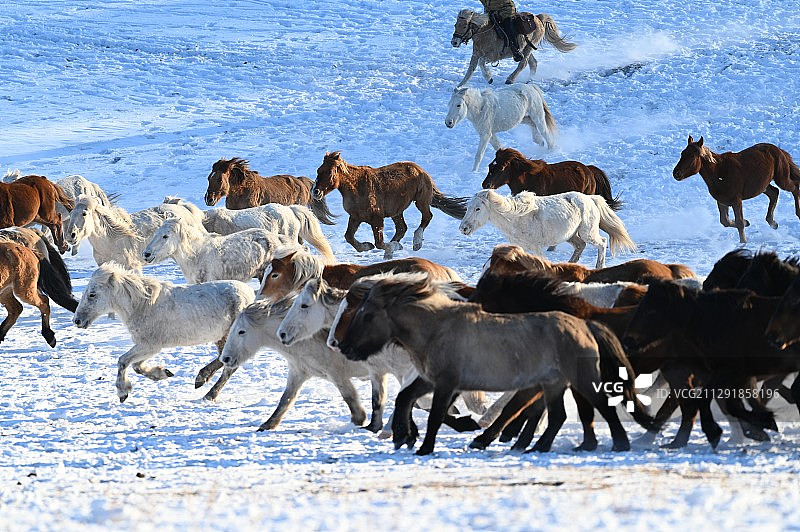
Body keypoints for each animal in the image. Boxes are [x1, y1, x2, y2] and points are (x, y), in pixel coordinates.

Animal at [66, 196, 205, 272]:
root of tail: (185, 208)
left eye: (84, 213)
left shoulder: (132, 267)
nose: (70, 236)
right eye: (71, 213)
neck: (110, 241)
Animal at [73, 262, 254, 402]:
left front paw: (123, 392)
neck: (143, 305)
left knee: (229, 367)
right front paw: (162, 374)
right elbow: (137, 366)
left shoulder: (150, 346)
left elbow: (123, 361)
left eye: (92, 294)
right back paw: (201, 379)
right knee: (222, 360)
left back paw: (209, 395)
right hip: (223, 338)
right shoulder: (148, 347)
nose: (77, 321)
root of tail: (251, 295)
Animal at [311, 151, 468, 259]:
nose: (315, 191)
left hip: (420, 201)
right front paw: (367, 246)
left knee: (427, 217)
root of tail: (421, 171)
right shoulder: (355, 217)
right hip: (396, 212)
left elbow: (379, 243)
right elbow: (349, 237)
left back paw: (415, 243)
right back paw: (392, 250)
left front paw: (390, 247)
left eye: (329, 172)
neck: (357, 187)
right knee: (402, 228)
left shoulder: (377, 219)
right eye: (318, 171)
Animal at [337, 273, 653, 455]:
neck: (436, 328)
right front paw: (404, 436)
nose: (344, 348)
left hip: (580, 380)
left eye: (367, 315)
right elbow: (406, 399)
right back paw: (540, 446)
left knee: (601, 407)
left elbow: (436, 415)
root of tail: (585, 325)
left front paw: (424, 447)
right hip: (555, 384)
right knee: (559, 416)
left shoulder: (448, 383)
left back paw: (619, 443)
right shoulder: (431, 379)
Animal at [460, 190, 636, 268]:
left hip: (588, 233)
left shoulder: (536, 247)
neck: (517, 217)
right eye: (468, 207)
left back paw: (599, 266)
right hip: (571, 235)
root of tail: (590, 198)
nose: (463, 228)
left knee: (602, 242)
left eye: (477, 209)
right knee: (581, 245)